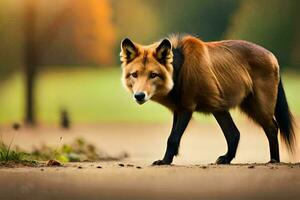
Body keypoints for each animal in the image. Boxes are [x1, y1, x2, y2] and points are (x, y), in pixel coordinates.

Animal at [119, 34, 296, 165]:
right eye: (134, 74)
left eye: (153, 75)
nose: (139, 95)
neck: (180, 71)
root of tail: (273, 56)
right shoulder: (179, 108)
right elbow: (173, 138)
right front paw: (168, 158)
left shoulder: (187, 108)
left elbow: (172, 138)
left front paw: (164, 161)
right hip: (221, 109)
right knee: (234, 134)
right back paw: (226, 159)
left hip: (257, 107)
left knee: (272, 128)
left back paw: (274, 161)